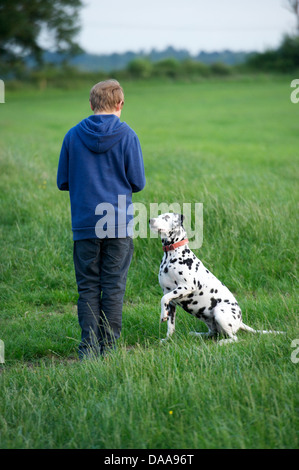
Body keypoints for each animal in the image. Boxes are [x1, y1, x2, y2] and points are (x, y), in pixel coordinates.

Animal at [150, 214, 284, 346]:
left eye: (166, 217)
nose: (150, 220)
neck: (172, 255)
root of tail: (240, 322)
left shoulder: (186, 287)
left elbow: (163, 299)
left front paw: (162, 316)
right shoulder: (171, 301)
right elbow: (170, 326)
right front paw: (167, 339)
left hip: (220, 313)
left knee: (234, 338)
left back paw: (222, 342)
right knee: (212, 334)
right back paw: (197, 334)